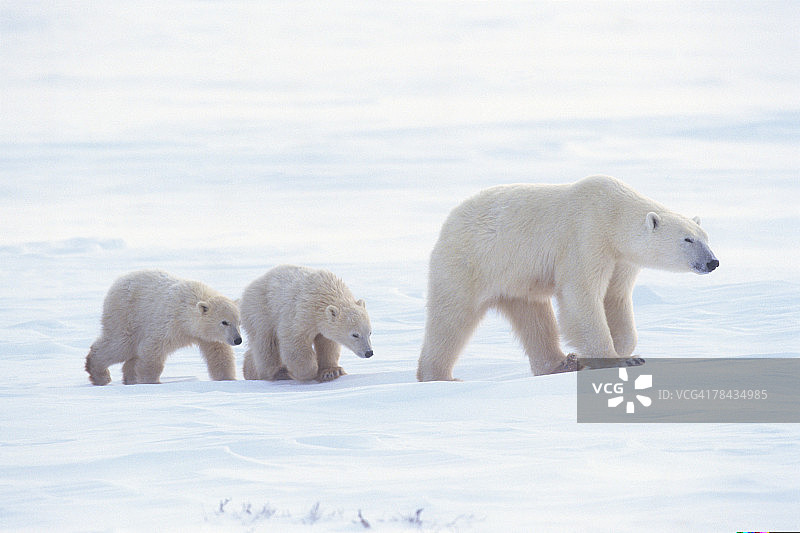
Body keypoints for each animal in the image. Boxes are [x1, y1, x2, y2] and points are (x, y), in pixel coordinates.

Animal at [85, 270, 242, 385]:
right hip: (126, 315)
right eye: (224, 322)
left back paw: (129, 379)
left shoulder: (207, 336)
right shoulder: (169, 323)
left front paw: (228, 379)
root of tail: (119, 281)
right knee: (121, 345)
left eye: (238, 322)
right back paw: (100, 375)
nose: (238, 340)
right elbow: (153, 349)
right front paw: (151, 381)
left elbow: (219, 354)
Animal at [240, 265, 373, 382]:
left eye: (370, 333)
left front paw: (331, 372)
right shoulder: (301, 312)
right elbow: (294, 340)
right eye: (355, 334)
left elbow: (327, 344)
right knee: (266, 343)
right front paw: (308, 372)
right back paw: (278, 373)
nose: (369, 352)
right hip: (261, 311)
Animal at [417, 175, 718, 381]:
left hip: (516, 283)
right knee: (451, 319)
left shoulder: (621, 259)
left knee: (534, 319)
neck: (613, 211)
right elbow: (582, 295)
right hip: (470, 263)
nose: (712, 262)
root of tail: (450, 220)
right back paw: (439, 375)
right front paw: (615, 360)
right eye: (687, 239)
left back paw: (562, 363)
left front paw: (622, 351)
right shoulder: (587, 236)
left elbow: (615, 298)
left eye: (705, 237)